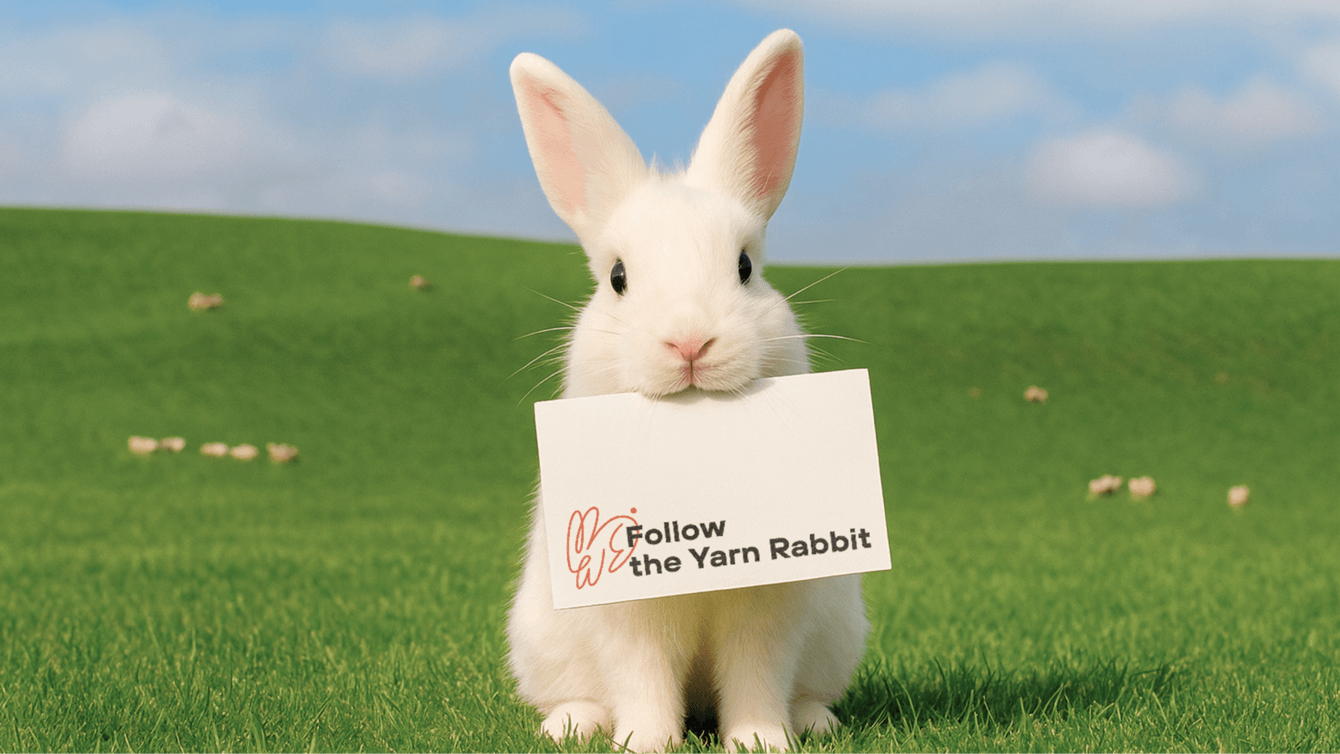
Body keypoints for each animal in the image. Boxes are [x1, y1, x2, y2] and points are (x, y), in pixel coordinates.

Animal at [506, 29, 869, 752]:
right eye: (617, 277)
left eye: (745, 266)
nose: (690, 342)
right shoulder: (627, 609)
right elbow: (642, 676)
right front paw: (646, 742)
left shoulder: (768, 606)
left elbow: (757, 674)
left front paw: (760, 740)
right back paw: (572, 724)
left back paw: (814, 720)